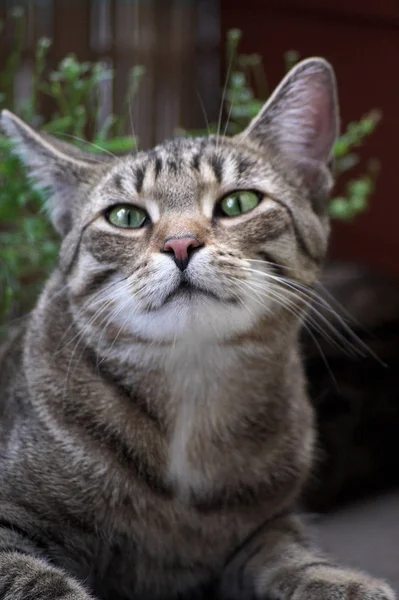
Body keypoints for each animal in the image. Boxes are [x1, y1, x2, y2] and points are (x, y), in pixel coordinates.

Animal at [0, 57, 396, 600]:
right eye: (125, 216)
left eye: (238, 203)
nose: (181, 244)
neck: (191, 383)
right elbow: (40, 582)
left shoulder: (267, 526)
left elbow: (296, 558)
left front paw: (341, 582)